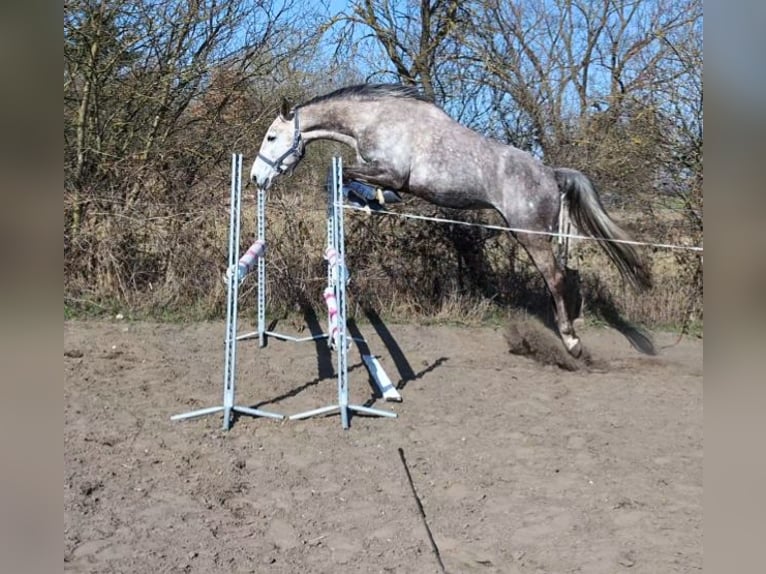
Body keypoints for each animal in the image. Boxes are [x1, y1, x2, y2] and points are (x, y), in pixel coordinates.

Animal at [250, 84, 651, 357]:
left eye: (271, 137)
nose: (256, 177)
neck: (377, 119)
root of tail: (551, 174)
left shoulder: (392, 173)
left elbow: (348, 174)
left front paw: (367, 198)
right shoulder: (384, 174)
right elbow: (352, 179)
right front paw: (367, 201)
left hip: (530, 234)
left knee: (555, 277)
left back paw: (571, 342)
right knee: (570, 274)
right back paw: (577, 325)